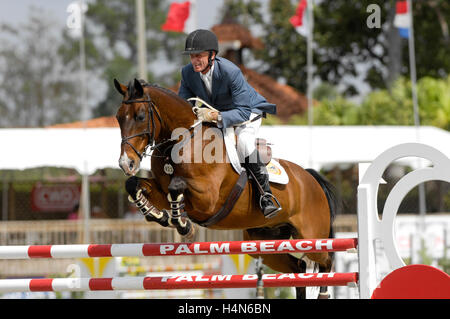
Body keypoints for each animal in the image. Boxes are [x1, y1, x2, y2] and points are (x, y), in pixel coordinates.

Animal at [114, 78, 340, 300]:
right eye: (118, 118)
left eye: (140, 116)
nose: (127, 163)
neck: (181, 141)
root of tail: (310, 178)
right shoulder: (162, 190)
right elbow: (134, 185)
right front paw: (158, 215)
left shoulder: (207, 199)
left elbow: (176, 186)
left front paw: (183, 225)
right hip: (265, 244)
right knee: (299, 268)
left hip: (310, 238)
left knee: (326, 261)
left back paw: (324, 292)